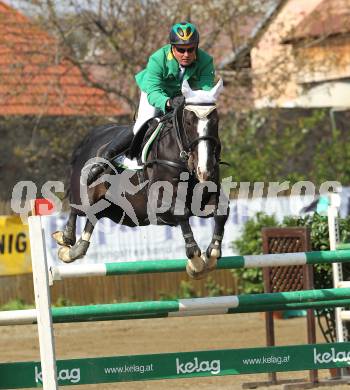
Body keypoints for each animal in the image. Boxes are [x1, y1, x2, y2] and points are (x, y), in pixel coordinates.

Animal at [51, 79, 227, 278]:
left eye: (216, 121)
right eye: (189, 122)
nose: (204, 170)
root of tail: (90, 138)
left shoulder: (205, 198)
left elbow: (222, 211)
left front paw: (212, 255)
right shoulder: (160, 202)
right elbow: (181, 213)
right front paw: (196, 262)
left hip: (113, 208)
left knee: (92, 218)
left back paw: (76, 248)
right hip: (85, 193)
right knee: (76, 208)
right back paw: (65, 240)